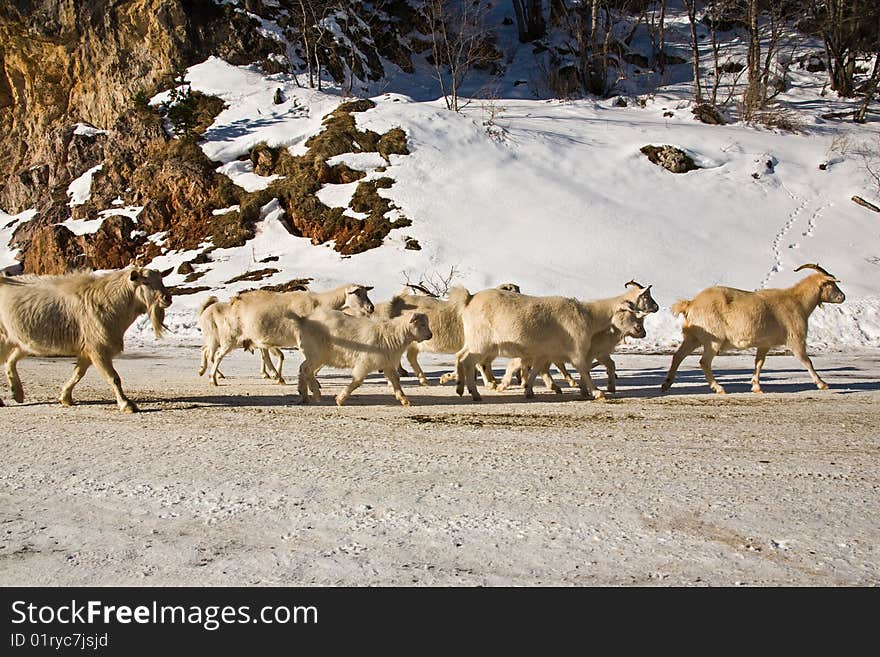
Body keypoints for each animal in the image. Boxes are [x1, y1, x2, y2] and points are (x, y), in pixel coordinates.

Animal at [0, 266, 173, 410]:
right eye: (145, 281)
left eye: (162, 280)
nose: (167, 298)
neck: (109, 303)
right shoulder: (98, 349)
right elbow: (114, 377)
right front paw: (127, 405)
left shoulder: (87, 351)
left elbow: (78, 373)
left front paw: (65, 398)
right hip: (4, 338)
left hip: (22, 342)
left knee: (10, 361)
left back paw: (17, 394)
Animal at [296, 308, 434, 404]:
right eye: (422, 324)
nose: (430, 335)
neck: (392, 334)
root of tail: (304, 320)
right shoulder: (365, 362)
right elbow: (357, 381)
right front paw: (340, 399)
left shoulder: (387, 363)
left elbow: (395, 380)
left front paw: (404, 399)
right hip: (316, 353)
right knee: (306, 369)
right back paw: (316, 392)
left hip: (317, 355)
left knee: (303, 368)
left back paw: (304, 395)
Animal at [660, 262, 844, 394]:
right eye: (831, 283)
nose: (843, 297)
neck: (797, 301)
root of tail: (690, 304)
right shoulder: (795, 339)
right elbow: (807, 361)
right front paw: (822, 384)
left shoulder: (764, 344)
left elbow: (759, 363)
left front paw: (756, 387)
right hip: (713, 341)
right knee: (704, 362)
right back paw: (718, 388)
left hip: (693, 338)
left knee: (678, 356)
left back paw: (666, 384)